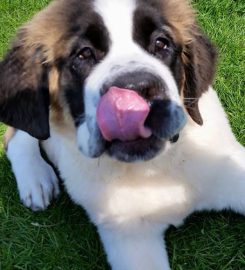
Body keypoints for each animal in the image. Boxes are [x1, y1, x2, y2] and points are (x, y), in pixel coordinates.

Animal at [0, 0, 245, 270]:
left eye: (161, 43)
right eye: (83, 54)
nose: (135, 88)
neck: (152, 169)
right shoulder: (130, 237)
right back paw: (35, 179)